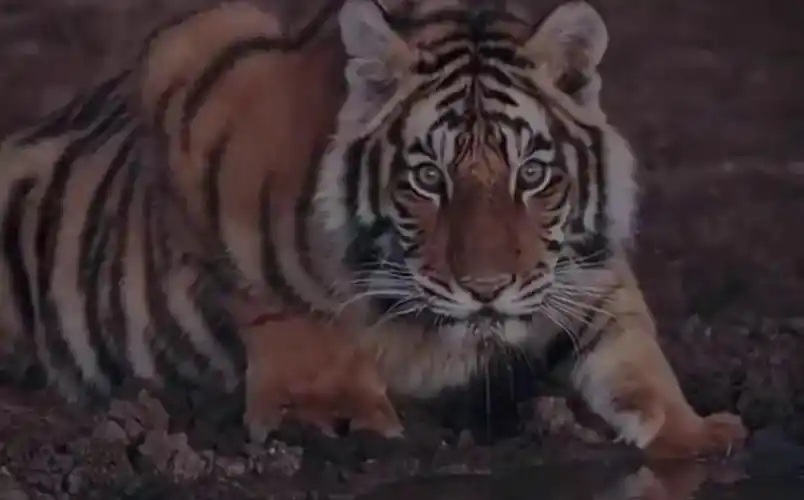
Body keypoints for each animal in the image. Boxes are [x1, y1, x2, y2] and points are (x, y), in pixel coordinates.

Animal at [0, 0, 747, 459]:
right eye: (428, 178)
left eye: (532, 174)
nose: (486, 290)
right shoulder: (192, 63)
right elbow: (283, 296)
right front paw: (326, 412)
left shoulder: (581, 274)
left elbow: (630, 343)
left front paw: (693, 431)